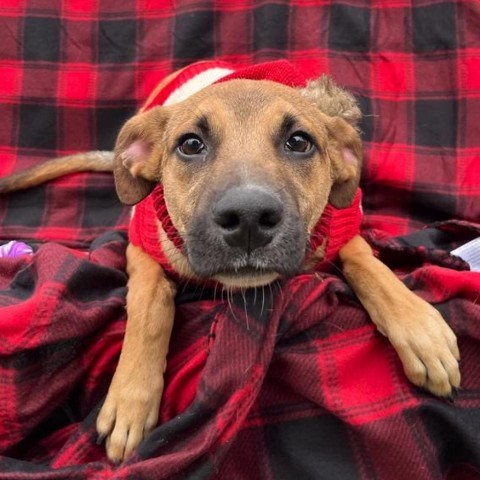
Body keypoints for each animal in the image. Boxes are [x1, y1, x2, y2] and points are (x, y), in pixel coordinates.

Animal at [0, 60, 460, 462]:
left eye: (299, 141)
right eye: (190, 144)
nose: (249, 220)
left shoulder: (344, 224)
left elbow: (368, 263)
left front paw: (421, 330)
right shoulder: (140, 244)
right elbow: (150, 306)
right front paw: (130, 399)